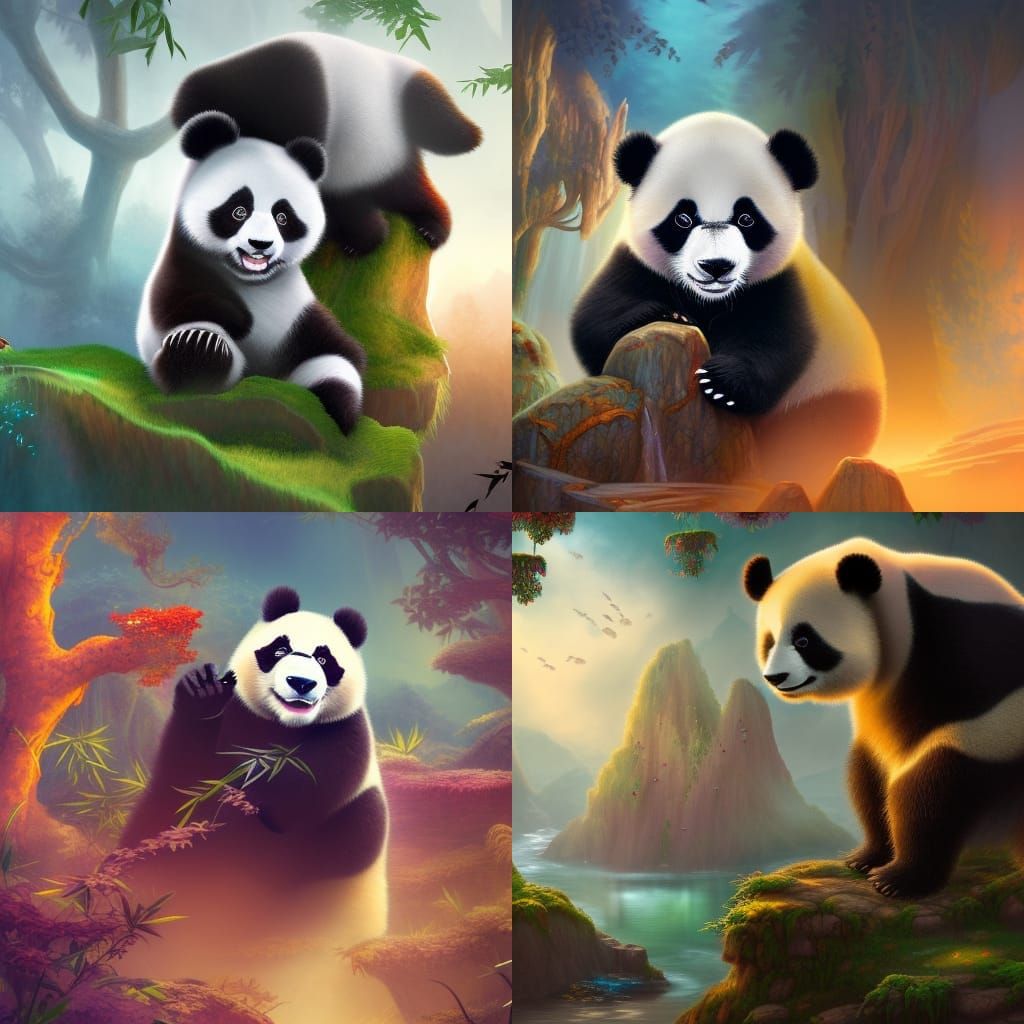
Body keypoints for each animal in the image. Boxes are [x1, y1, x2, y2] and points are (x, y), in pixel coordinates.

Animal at [121, 585, 387, 961]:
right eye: (280, 650)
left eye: (324, 660)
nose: (301, 682)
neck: (283, 725)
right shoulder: (239, 715)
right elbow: (183, 773)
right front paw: (203, 690)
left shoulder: (343, 736)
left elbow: (297, 804)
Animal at [136, 111, 367, 434]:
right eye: (238, 211)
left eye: (282, 216)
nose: (260, 244)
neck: (254, 285)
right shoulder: (181, 267)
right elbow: (183, 301)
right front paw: (237, 320)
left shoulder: (300, 316)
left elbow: (341, 354)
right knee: (196, 353)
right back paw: (201, 350)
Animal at [572, 112, 886, 490]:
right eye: (683, 218)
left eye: (746, 218)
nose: (716, 266)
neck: (710, 301)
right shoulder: (633, 263)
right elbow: (594, 322)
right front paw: (666, 314)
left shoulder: (782, 283)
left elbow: (775, 341)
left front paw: (721, 383)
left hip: (832, 391)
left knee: (814, 433)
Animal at [743, 537, 1024, 899]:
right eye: (770, 641)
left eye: (804, 640)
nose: (775, 677)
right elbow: (869, 778)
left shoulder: (962, 641)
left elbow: (931, 789)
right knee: (867, 774)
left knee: (930, 789)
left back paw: (901, 878)